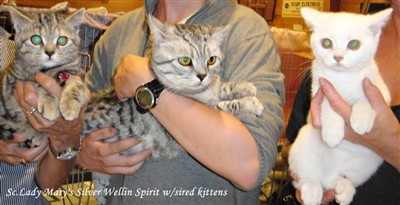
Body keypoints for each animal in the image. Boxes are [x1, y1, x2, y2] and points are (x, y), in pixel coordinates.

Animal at [0, 6, 87, 146]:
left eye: (62, 40)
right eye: (35, 39)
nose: (50, 52)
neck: (49, 69)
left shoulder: (73, 71)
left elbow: (76, 84)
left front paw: (71, 105)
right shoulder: (16, 78)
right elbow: (39, 84)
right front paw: (49, 102)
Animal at [86, 14, 264, 205]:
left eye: (212, 60)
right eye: (185, 61)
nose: (202, 76)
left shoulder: (213, 90)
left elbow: (223, 89)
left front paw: (244, 87)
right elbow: (224, 107)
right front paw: (251, 103)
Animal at [290, 7, 392, 204]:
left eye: (354, 44)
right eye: (326, 43)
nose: (338, 57)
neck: (343, 78)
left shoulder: (380, 91)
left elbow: (365, 100)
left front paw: (361, 118)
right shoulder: (318, 92)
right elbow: (327, 106)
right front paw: (332, 132)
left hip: (369, 162)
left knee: (333, 179)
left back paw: (344, 187)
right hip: (304, 140)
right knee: (304, 178)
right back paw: (311, 189)